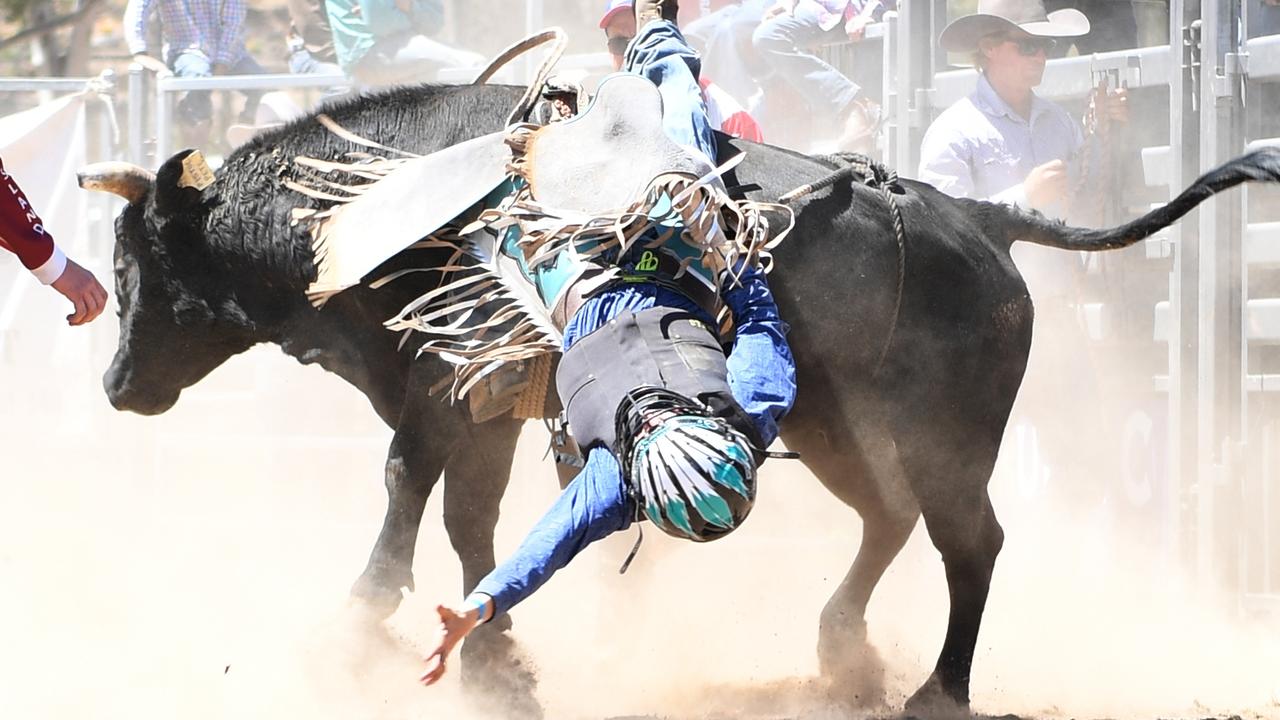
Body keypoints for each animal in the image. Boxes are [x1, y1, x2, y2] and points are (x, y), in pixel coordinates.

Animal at [77, 81, 1280, 707]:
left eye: (143, 269)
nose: (117, 385)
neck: (388, 209)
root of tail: (980, 217)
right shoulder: (484, 405)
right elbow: (470, 522)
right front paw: (497, 661)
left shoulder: (442, 387)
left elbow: (407, 490)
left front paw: (356, 628)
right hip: (835, 427)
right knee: (890, 521)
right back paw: (843, 652)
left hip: (948, 436)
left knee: (966, 541)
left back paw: (934, 688)